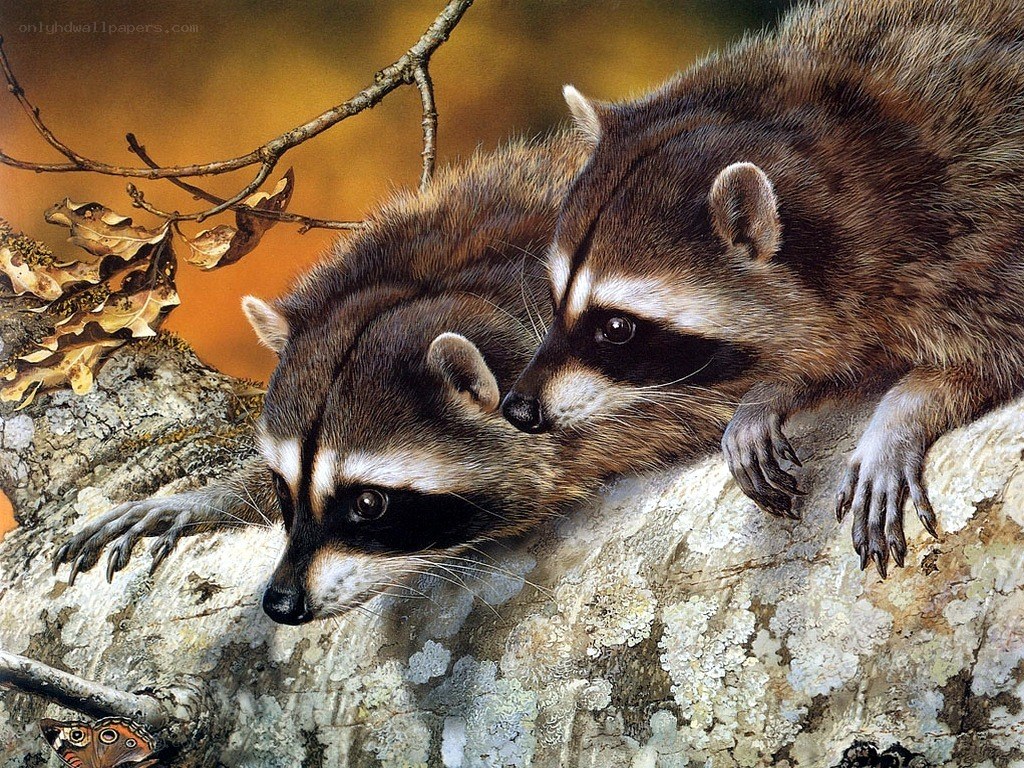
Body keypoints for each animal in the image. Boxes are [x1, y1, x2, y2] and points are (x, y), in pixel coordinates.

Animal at [503, 0, 1024, 577]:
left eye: (617, 327)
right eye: (555, 298)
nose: (518, 409)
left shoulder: (978, 227)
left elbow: (993, 360)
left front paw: (899, 414)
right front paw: (774, 388)